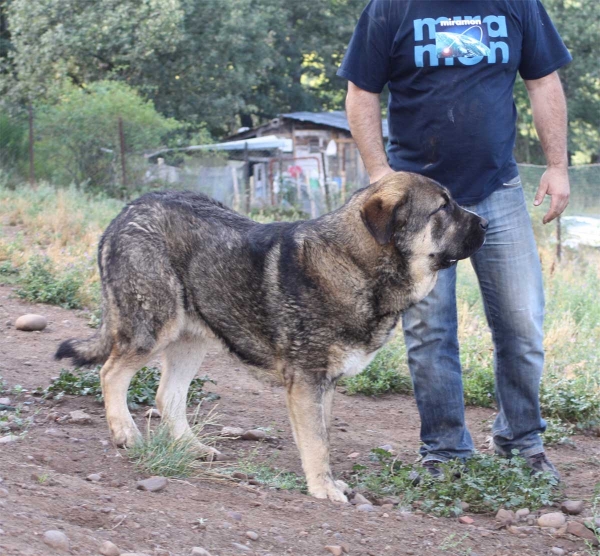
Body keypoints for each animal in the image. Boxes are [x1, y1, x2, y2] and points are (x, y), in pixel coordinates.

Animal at [56, 173, 488, 504]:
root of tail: (126, 212)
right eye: (443, 207)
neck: (358, 264)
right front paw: (323, 488)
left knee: (168, 396)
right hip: (152, 326)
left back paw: (191, 447)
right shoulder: (307, 382)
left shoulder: (324, 385)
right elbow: (316, 442)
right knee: (111, 373)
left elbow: (321, 437)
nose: (486, 224)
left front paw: (326, 480)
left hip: (191, 339)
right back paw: (126, 434)